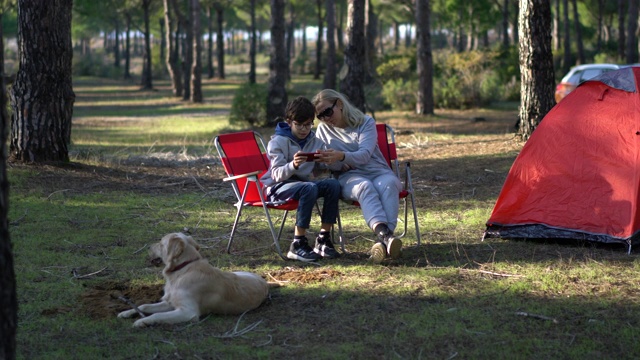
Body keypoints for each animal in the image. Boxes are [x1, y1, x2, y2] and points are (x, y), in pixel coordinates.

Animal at [118, 232, 270, 328]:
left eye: (161, 244)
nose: (148, 247)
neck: (182, 270)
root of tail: (264, 280)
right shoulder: (170, 302)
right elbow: (144, 306)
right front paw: (126, 312)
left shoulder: (188, 312)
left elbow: (156, 315)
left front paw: (142, 321)